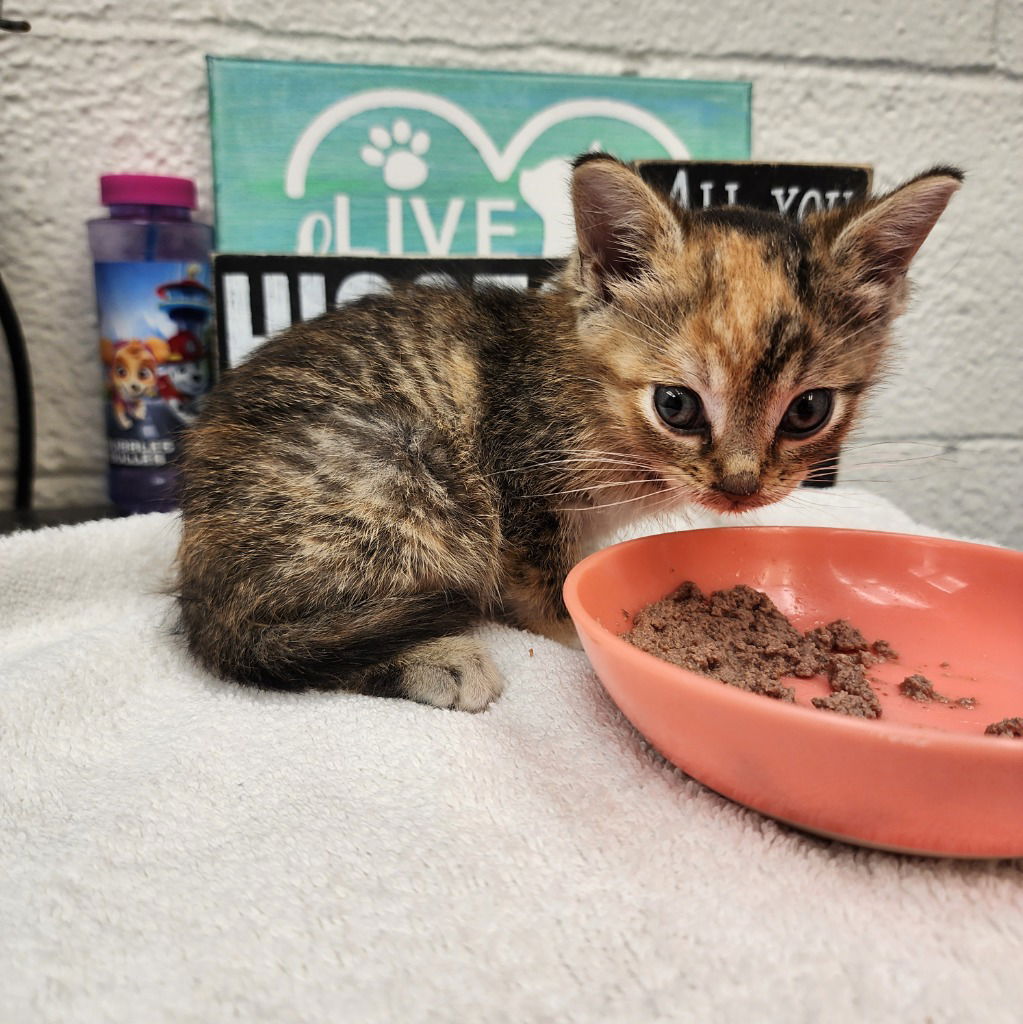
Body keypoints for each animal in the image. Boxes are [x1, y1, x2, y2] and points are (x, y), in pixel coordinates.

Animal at [180, 153, 962, 712]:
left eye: (807, 412)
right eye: (676, 406)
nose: (740, 487)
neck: (594, 403)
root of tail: (198, 570)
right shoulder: (518, 486)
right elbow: (543, 591)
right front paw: (579, 634)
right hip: (401, 471)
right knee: (263, 644)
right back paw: (438, 658)